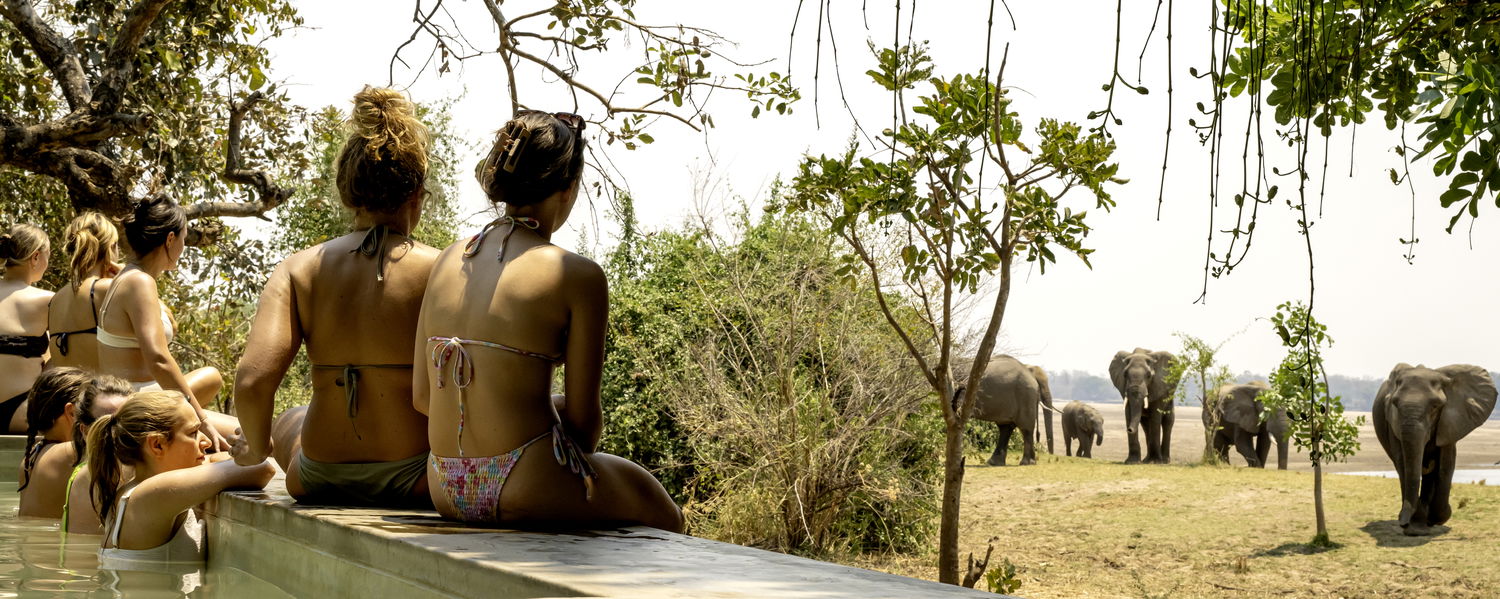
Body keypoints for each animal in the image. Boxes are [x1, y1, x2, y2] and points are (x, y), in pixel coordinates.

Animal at [1374, 363, 1494, 537]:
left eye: (1436, 407)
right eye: (1394, 404)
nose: (1403, 523)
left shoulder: (1451, 421)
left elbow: (1446, 464)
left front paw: (1434, 519)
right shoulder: (1392, 423)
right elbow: (1403, 463)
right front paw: (1416, 528)